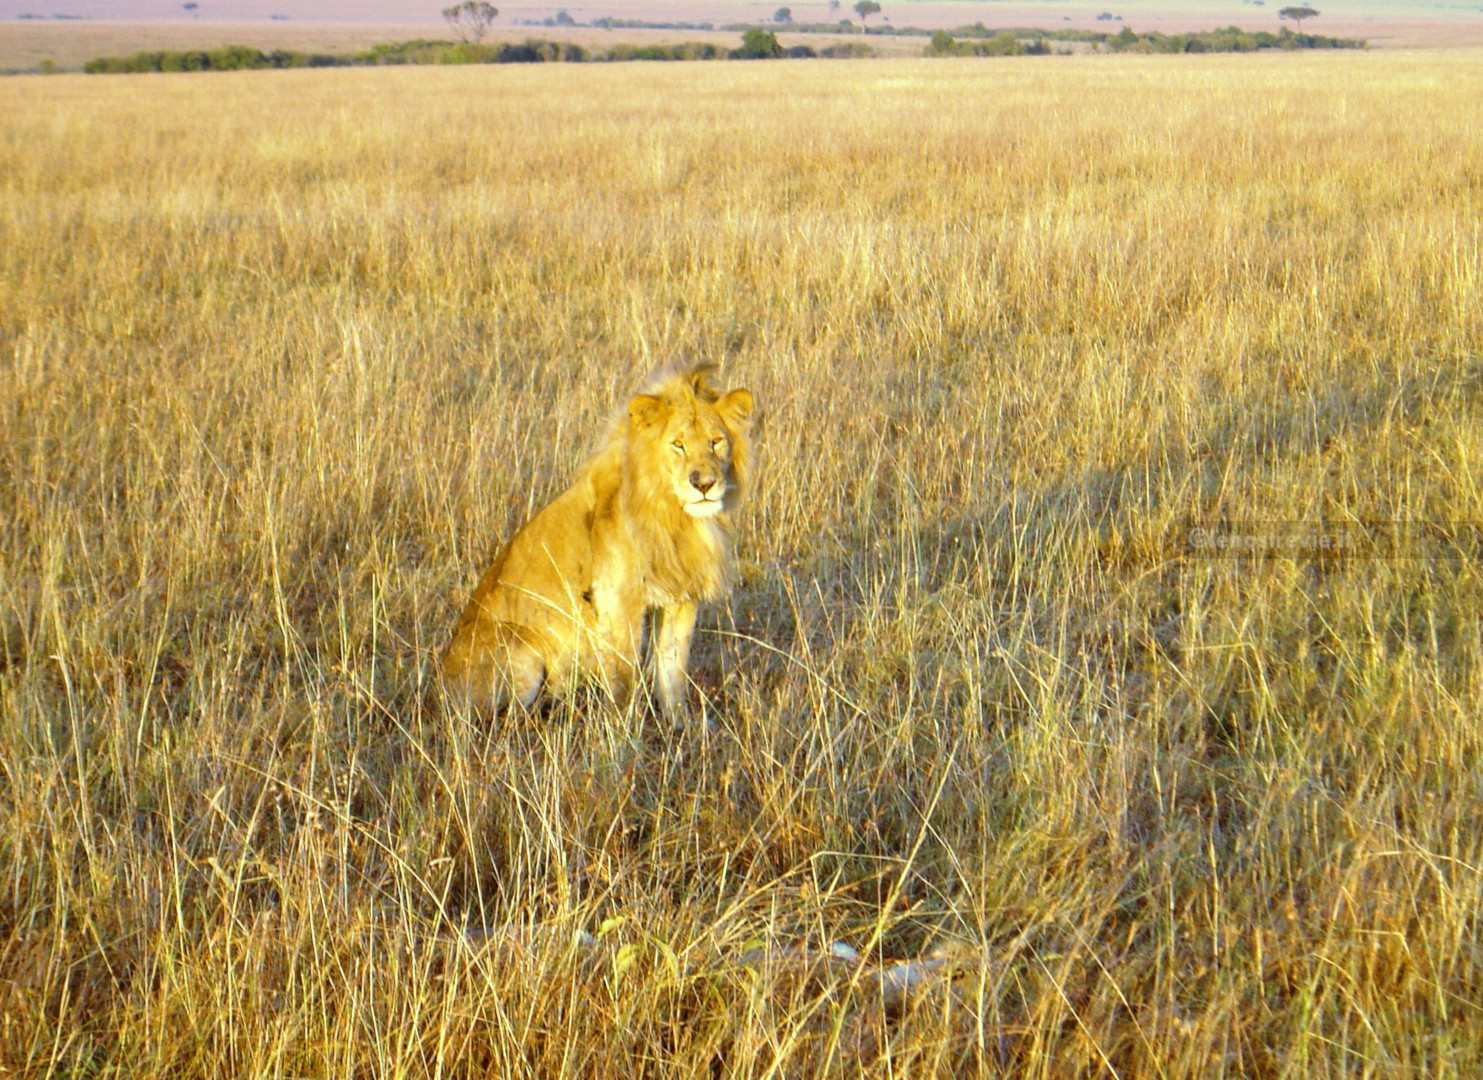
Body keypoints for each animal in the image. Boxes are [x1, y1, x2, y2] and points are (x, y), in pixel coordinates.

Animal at [441, 360, 759, 718]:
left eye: (716, 441)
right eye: (678, 445)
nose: (704, 484)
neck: (674, 514)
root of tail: (438, 688)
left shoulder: (682, 596)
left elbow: (672, 670)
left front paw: (678, 725)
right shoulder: (619, 598)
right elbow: (624, 678)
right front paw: (624, 728)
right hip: (523, 649)